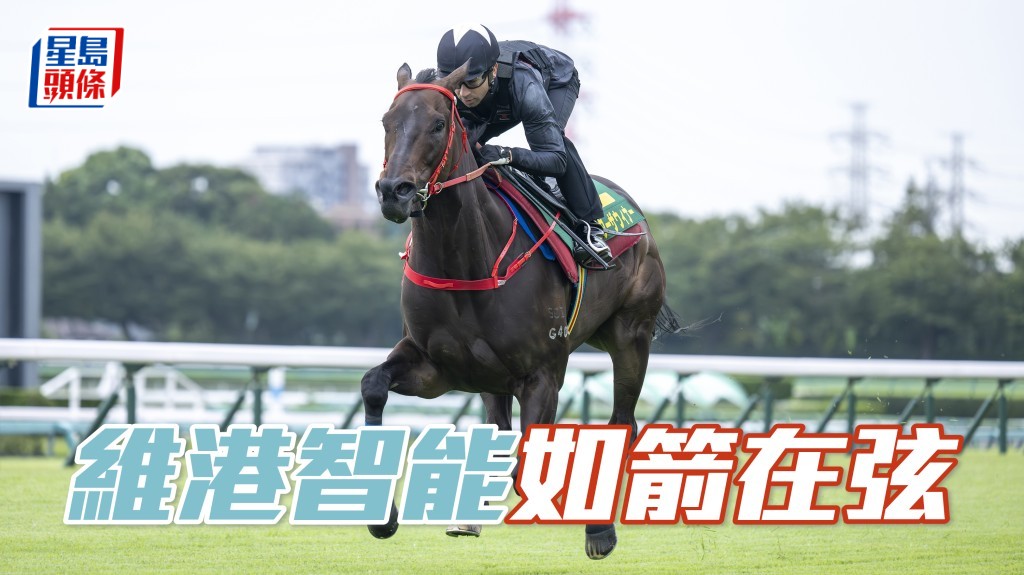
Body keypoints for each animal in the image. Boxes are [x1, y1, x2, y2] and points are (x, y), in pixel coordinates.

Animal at [361, 61, 680, 560]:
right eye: (386, 122)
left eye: (438, 123)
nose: (395, 190)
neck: (467, 260)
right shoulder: (437, 367)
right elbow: (373, 385)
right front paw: (383, 518)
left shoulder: (542, 375)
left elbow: (529, 463)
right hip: (493, 376)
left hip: (631, 335)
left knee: (621, 422)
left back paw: (599, 529)